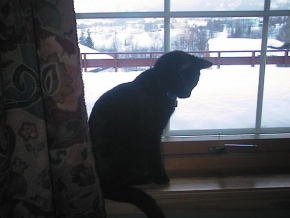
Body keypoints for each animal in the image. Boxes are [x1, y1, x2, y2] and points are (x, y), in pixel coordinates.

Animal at [87, 50, 212, 217]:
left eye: (194, 84)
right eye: (186, 83)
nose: (187, 94)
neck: (160, 86)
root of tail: (102, 186)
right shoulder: (152, 131)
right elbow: (156, 155)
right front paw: (161, 177)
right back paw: (145, 178)